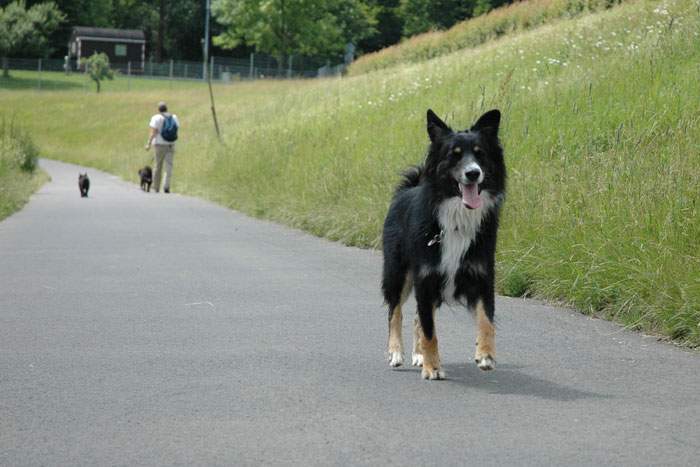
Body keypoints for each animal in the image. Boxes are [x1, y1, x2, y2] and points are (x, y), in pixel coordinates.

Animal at [380, 109, 506, 380]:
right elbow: (430, 332)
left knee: (416, 318)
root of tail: (409, 188)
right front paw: (433, 368)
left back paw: (418, 355)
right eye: (454, 155)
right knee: (395, 312)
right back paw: (396, 353)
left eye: (480, 153)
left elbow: (486, 320)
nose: (473, 173)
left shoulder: (482, 277)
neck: (456, 217)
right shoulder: (425, 278)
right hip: (398, 272)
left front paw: (486, 355)